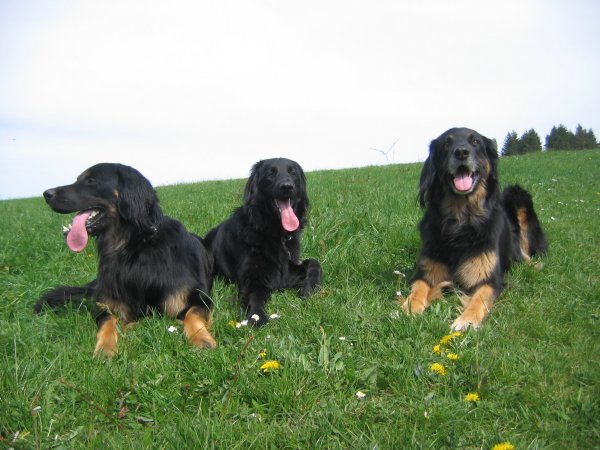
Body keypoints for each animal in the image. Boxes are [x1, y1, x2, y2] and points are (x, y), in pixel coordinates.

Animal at [32, 163, 216, 356]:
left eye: (91, 181)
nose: (46, 194)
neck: (135, 247)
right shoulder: (107, 304)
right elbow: (108, 322)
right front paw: (105, 347)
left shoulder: (197, 297)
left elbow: (192, 314)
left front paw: (201, 338)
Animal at [204, 158, 324, 326]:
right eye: (270, 173)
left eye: (292, 172)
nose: (287, 186)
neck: (273, 234)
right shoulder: (253, 277)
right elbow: (255, 297)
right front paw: (257, 316)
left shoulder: (287, 272)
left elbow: (315, 262)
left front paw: (309, 289)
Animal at [400, 127, 548, 330]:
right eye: (446, 143)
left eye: (476, 141)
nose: (461, 152)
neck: (461, 221)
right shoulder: (426, 271)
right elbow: (418, 288)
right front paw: (409, 308)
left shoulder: (489, 278)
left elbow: (480, 298)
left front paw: (466, 320)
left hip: (516, 194)